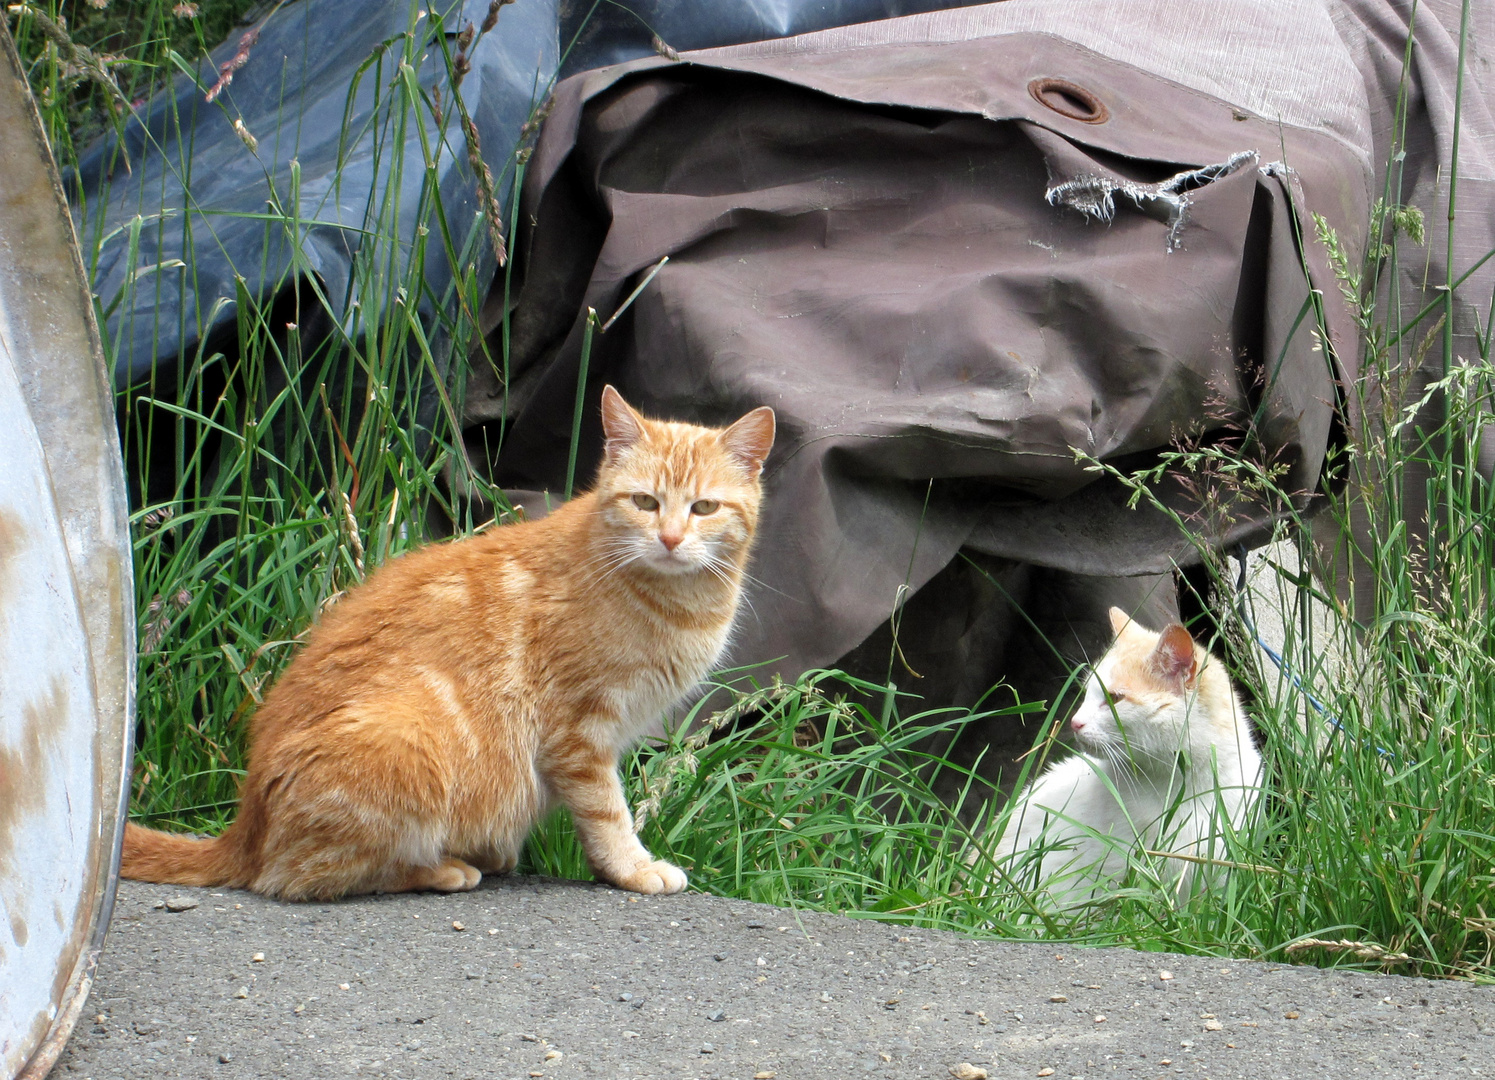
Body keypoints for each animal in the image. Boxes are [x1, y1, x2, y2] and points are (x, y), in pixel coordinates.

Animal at [122, 385, 777, 897]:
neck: (671, 601)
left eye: (703, 507)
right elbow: (607, 814)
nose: (669, 538)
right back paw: (443, 868)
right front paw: (634, 868)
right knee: (303, 876)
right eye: (645, 502)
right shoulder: (580, 734)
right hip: (407, 743)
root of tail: (245, 827)